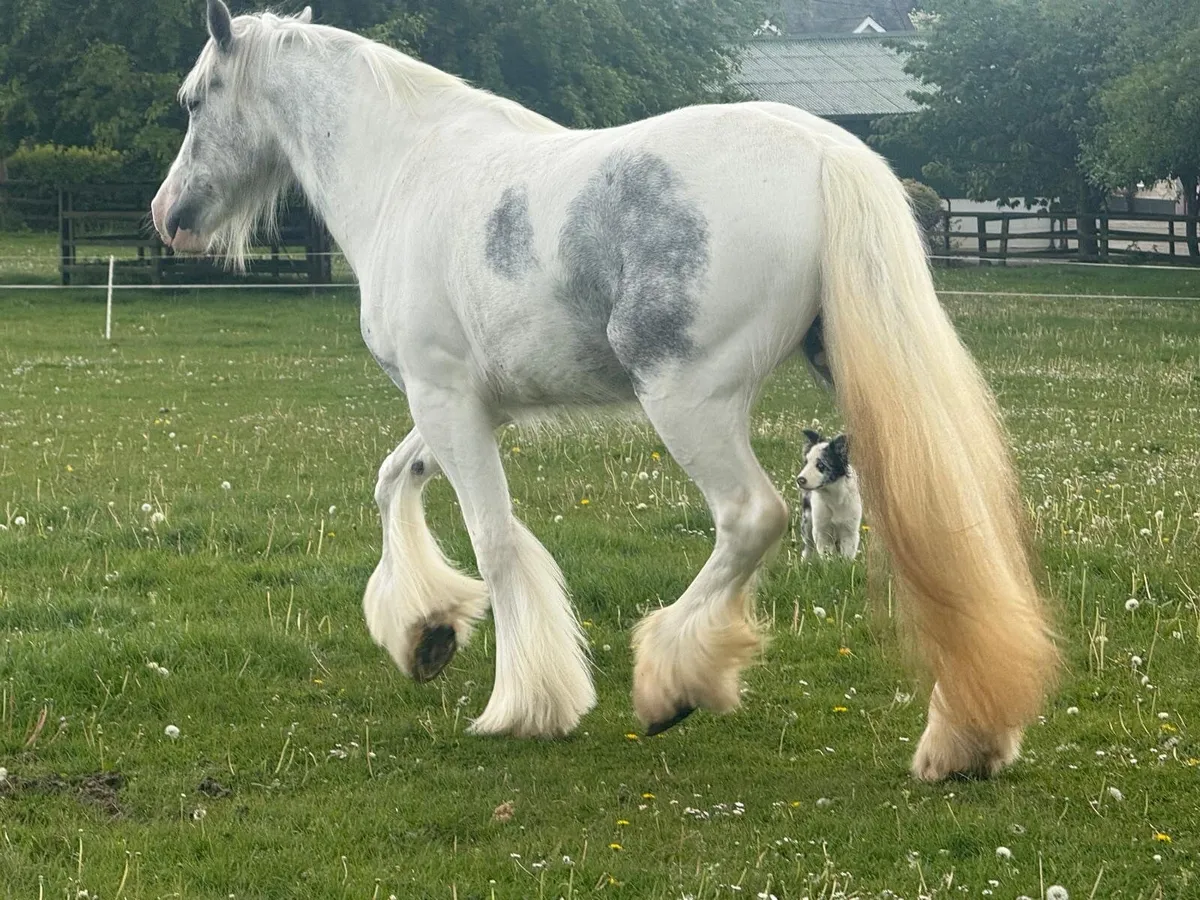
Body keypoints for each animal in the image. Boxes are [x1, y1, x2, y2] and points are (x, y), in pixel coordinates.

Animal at [152, 0, 1058, 780]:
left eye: (193, 100)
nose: (168, 216)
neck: (409, 172)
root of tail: (827, 151)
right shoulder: (461, 403)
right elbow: (393, 483)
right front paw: (427, 631)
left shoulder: (443, 398)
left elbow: (493, 538)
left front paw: (523, 704)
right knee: (947, 527)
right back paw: (969, 739)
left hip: (688, 401)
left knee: (752, 517)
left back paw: (670, 681)